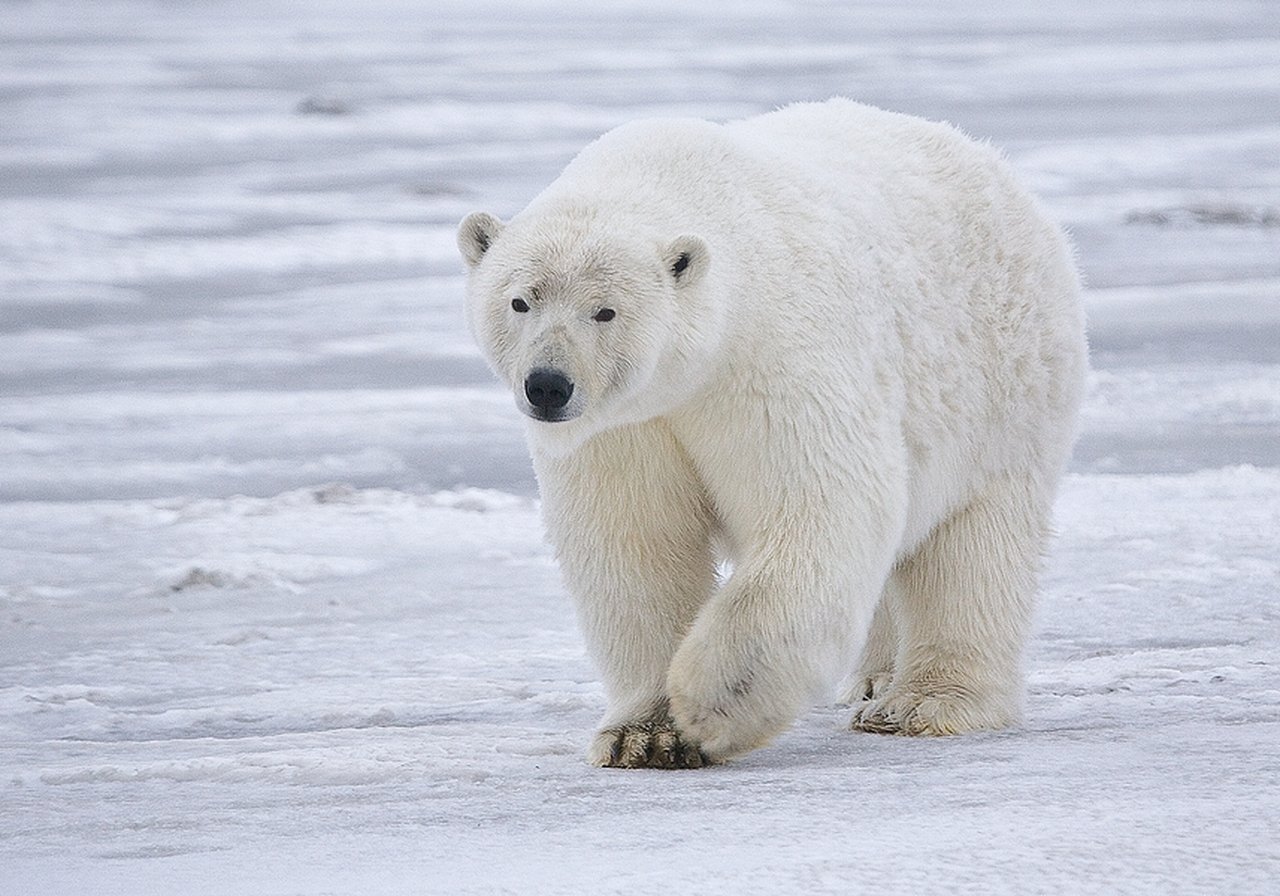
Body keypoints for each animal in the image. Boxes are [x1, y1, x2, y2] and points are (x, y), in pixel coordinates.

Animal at [457, 98, 1087, 769]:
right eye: (520, 301)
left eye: (605, 311)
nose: (548, 385)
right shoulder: (626, 426)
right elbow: (635, 544)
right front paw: (644, 735)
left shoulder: (771, 359)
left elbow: (820, 507)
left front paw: (710, 703)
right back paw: (873, 678)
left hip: (1004, 387)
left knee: (973, 548)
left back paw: (920, 703)